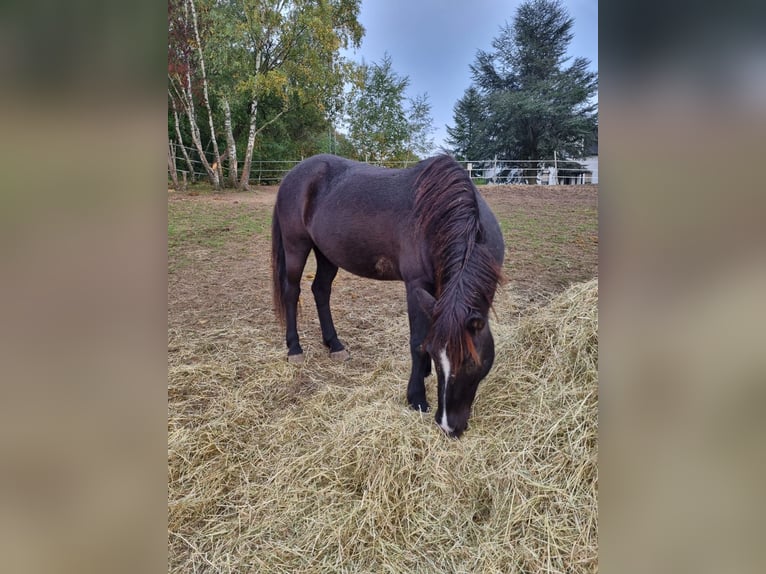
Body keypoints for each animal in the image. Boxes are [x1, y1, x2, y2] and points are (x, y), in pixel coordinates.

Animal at [272, 155, 508, 438]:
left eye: (472, 363)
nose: (448, 425)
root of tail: (293, 174)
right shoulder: (416, 285)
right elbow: (417, 342)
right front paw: (417, 397)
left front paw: (424, 373)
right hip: (296, 246)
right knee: (291, 291)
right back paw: (294, 349)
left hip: (326, 252)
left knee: (321, 290)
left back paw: (334, 345)